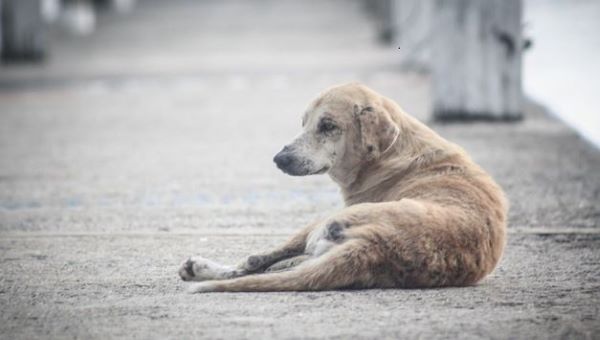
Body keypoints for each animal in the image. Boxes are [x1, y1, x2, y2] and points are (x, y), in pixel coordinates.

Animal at [178, 82, 506, 292]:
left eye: (328, 126)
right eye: (304, 123)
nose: (279, 159)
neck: (392, 151)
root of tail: (375, 245)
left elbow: (257, 260)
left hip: (322, 221)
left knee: (253, 263)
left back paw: (202, 268)